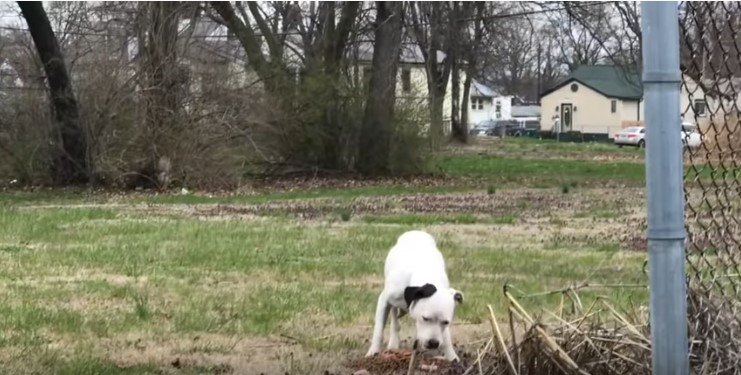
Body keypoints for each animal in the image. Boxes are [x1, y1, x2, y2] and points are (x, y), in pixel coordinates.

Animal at [366, 231, 462, 362]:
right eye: (425, 318)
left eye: (446, 322)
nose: (433, 343)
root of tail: (416, 232)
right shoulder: (384, 301)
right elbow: (379, 330)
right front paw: (373, 352)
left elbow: (446, 338)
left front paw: (452, 357)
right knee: (394, 317)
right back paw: (393, 342)